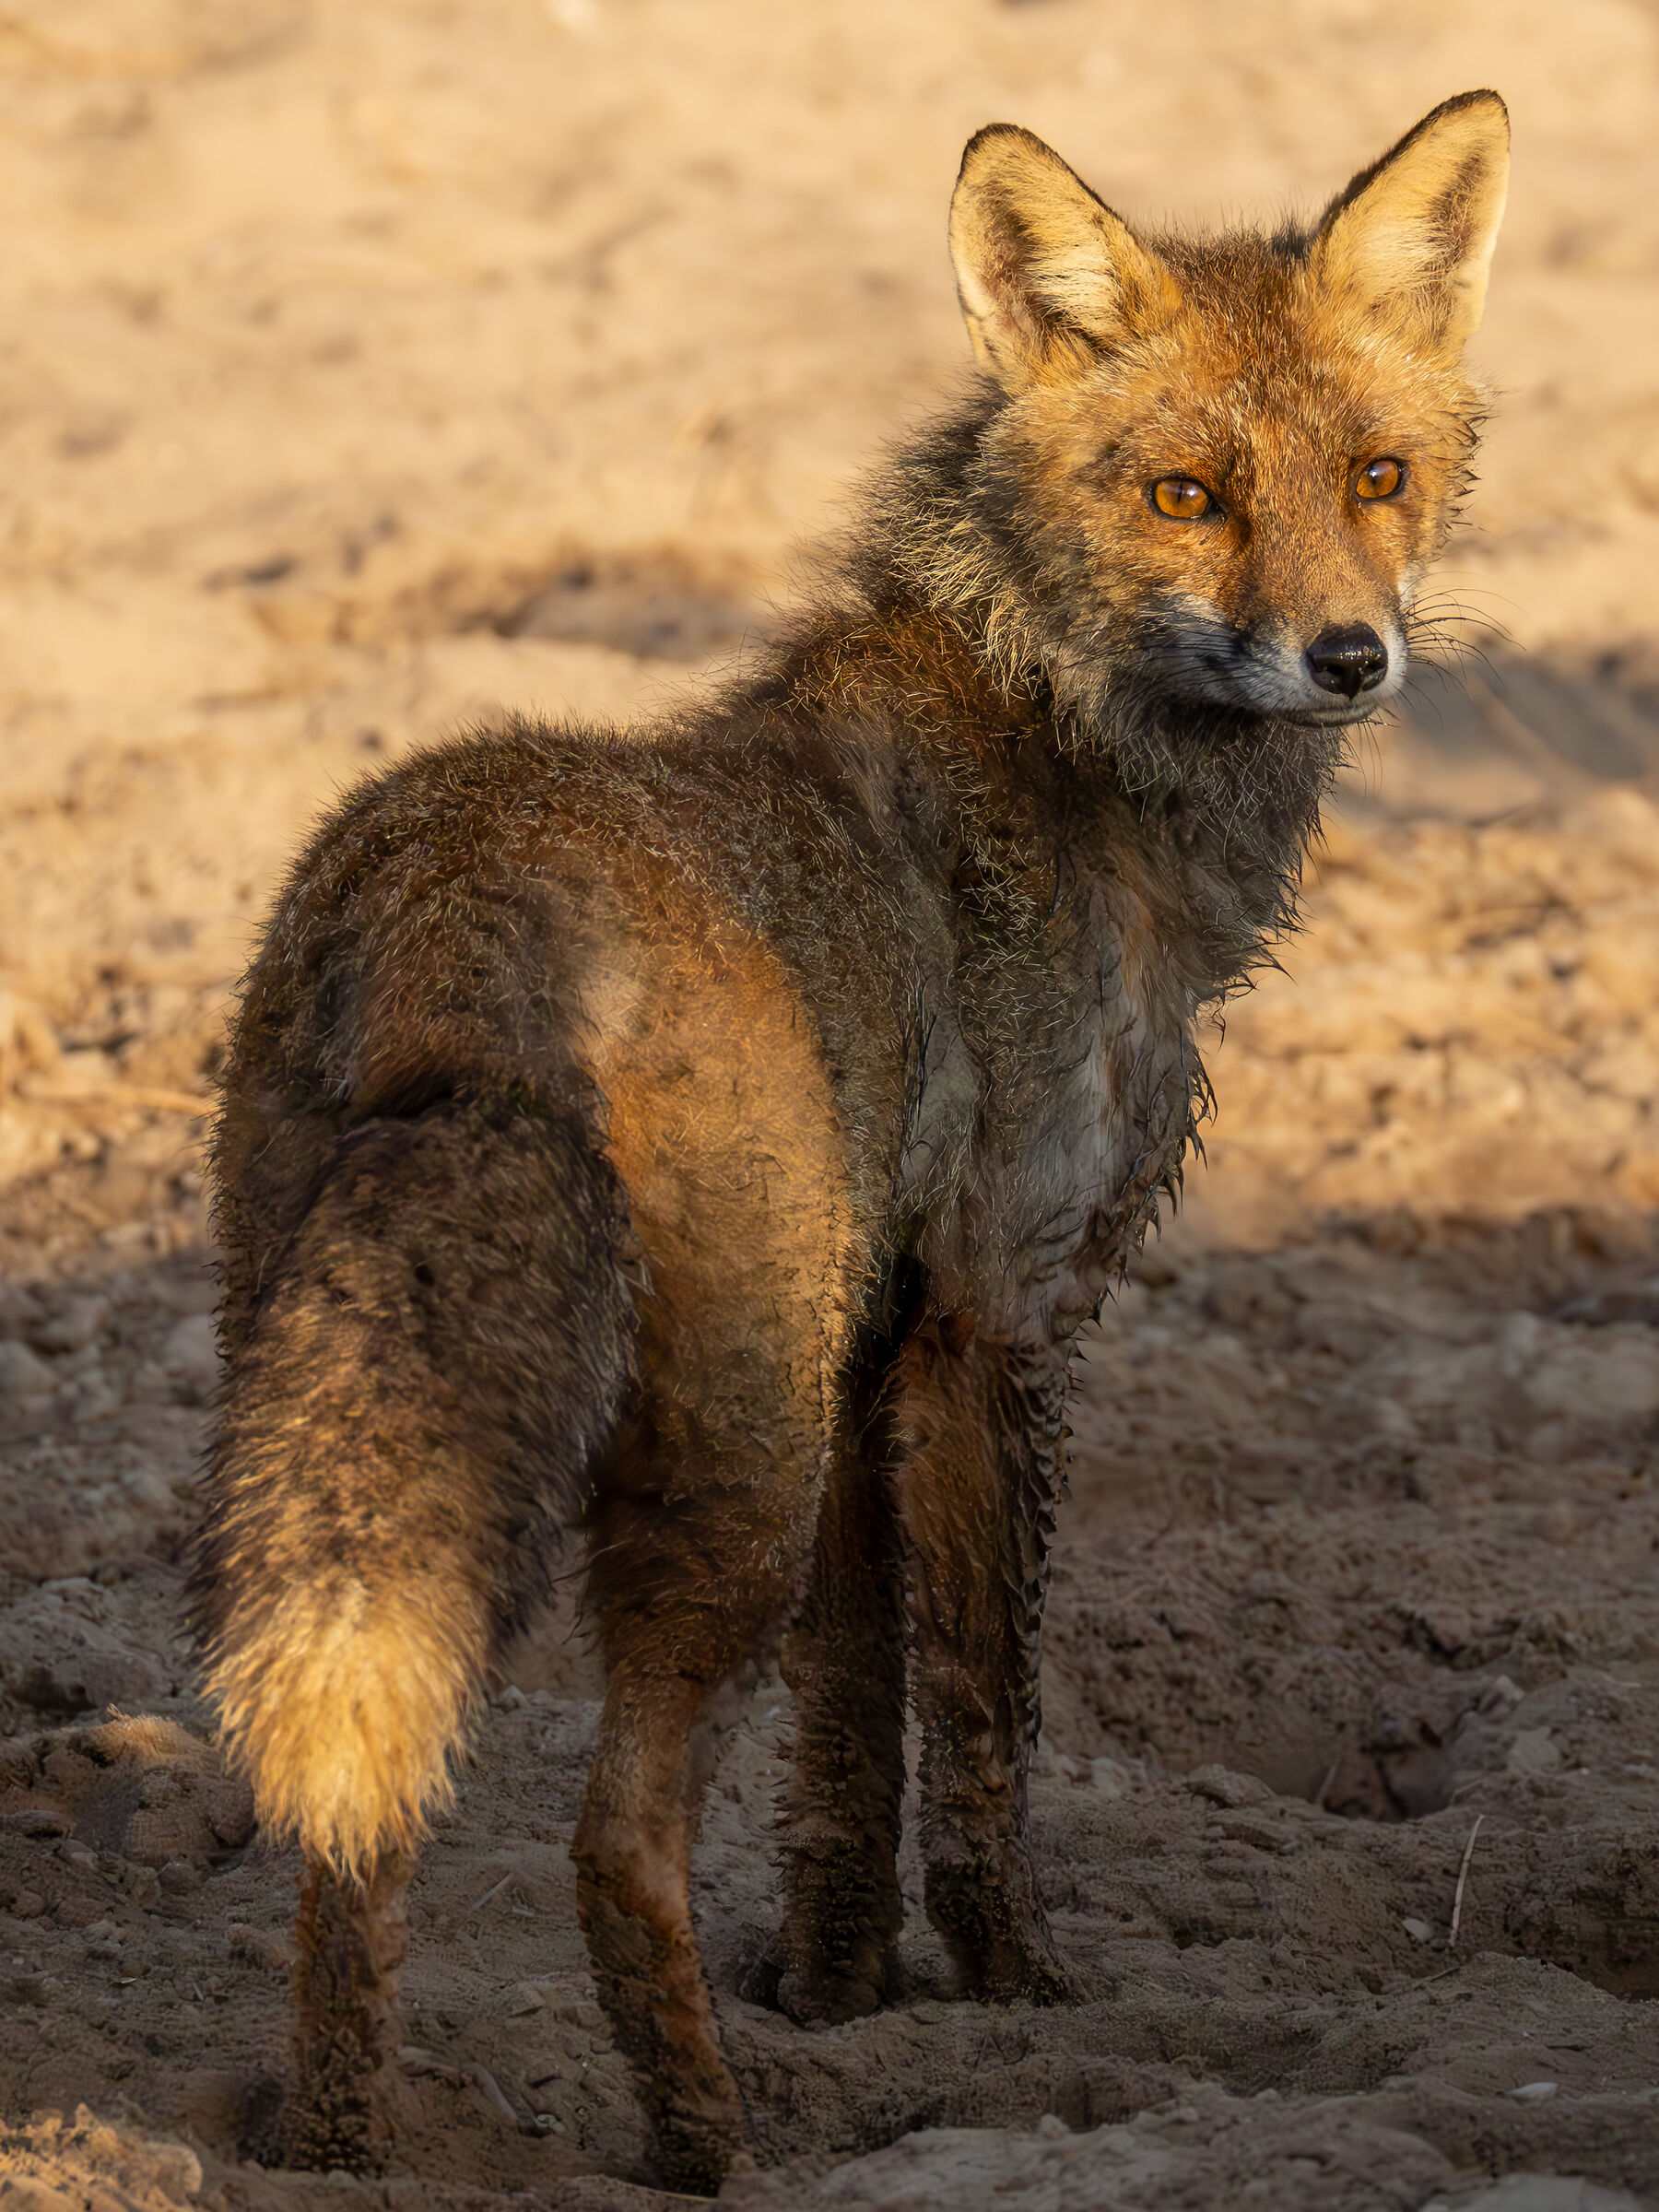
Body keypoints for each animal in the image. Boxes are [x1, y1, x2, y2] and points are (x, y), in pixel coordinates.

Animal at [191, 91, 1509, 2195]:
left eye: (1377, 476)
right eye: (1186, 496)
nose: (1348, 656)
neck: (1057, 730)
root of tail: (450, 899)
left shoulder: (876, 1344)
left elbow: (845, 1740)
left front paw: (837, 1990)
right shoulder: (996, 1317)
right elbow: (980, 1713)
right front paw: (1011, 1988)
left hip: (370, 1437)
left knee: (353, 1830)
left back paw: (337, 2145)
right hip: (727, 1450)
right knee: (614, 1836)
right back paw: (711, 2148)